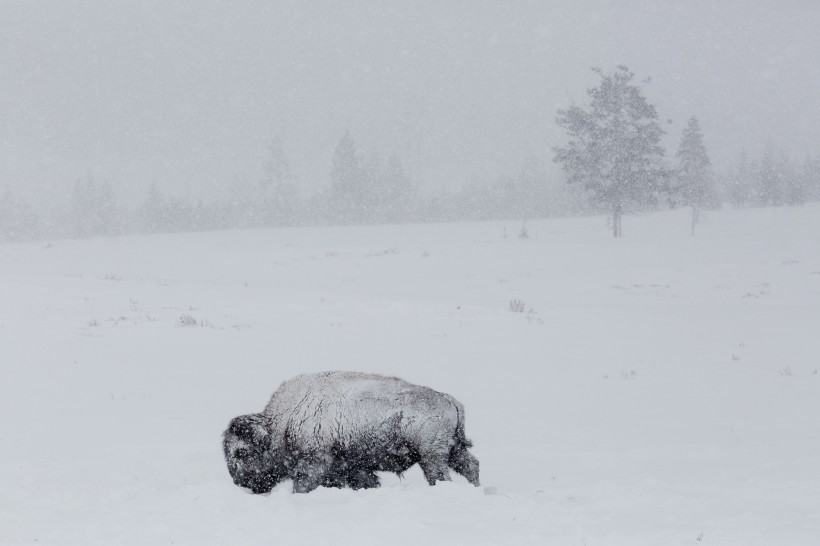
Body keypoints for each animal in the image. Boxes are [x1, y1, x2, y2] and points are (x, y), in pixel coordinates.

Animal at [224, 370, 480, 492]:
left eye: (242, 452)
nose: (239, 482)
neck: (282, 423)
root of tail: (449, 400)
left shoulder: (315, 462)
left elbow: (302, 485)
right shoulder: (352, 467)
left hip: (432, 456)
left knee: (441, 476)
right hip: (452, 450)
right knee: (470, 465)